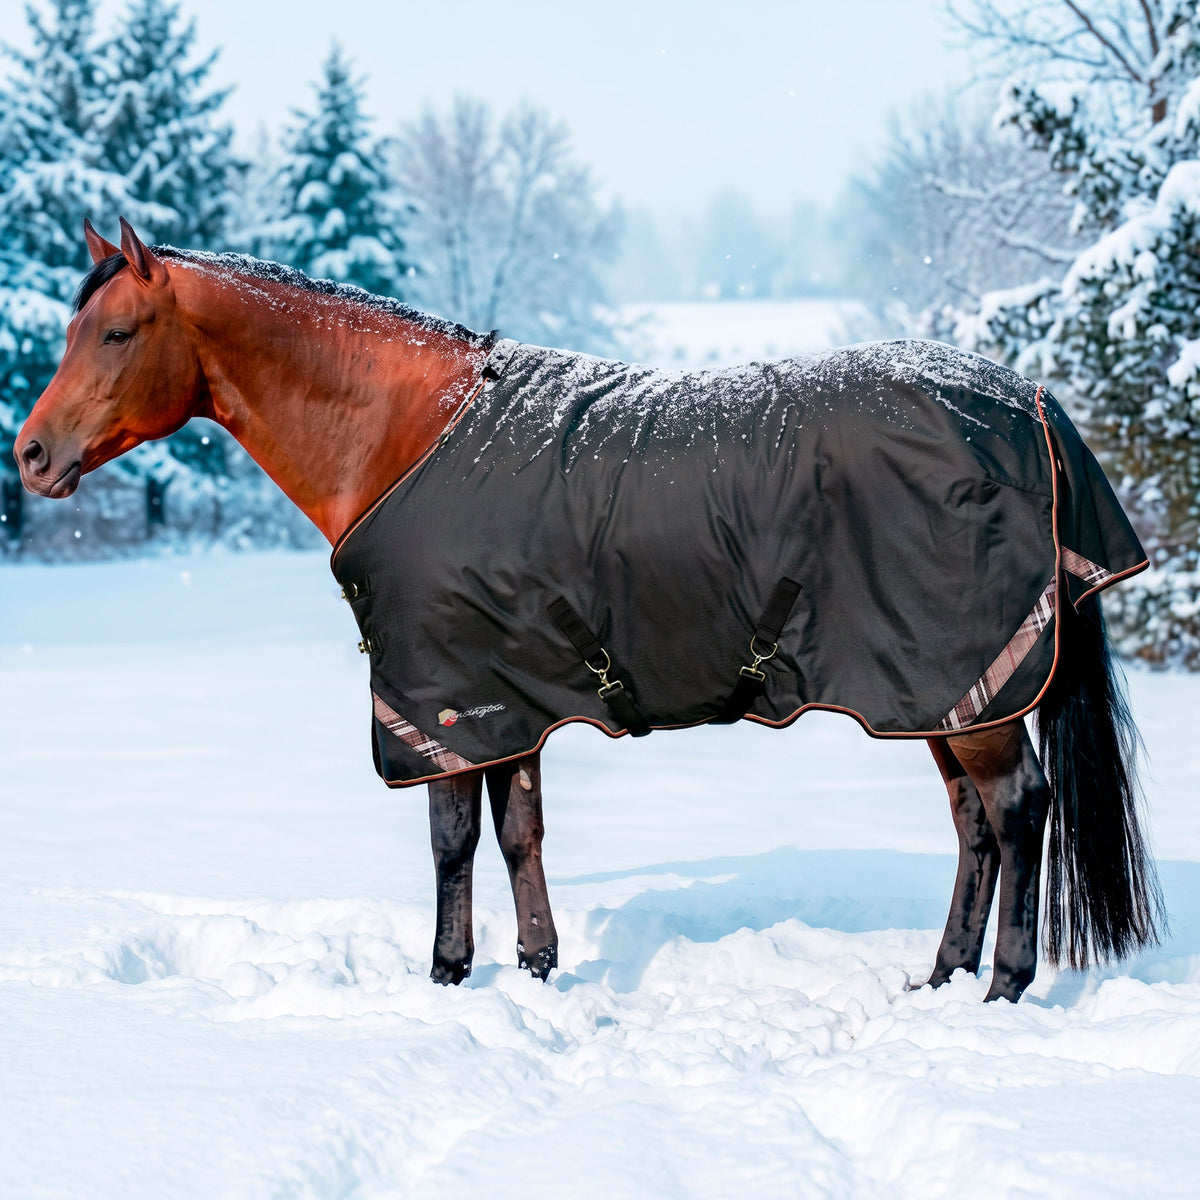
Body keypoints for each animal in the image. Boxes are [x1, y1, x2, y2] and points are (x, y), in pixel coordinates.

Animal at [14, 218, 1164, 1003]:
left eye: (116, 333)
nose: (29, 455)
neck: (404, 434)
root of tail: (1027, 404)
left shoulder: (437, 702)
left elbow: (451, 843)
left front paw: (446, 976)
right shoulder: (504, 697)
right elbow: (517, 834)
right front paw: (533, 968)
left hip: (966, 684)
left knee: (1018, 811)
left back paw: (1004, 985)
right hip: (937, 694)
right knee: (975, 825)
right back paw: (939, 976)